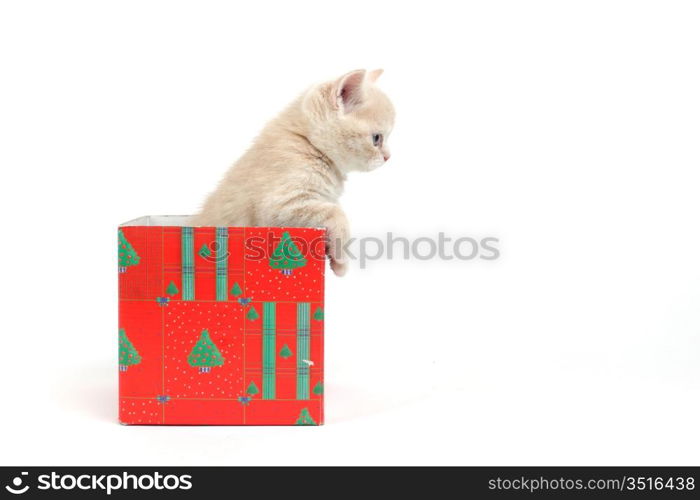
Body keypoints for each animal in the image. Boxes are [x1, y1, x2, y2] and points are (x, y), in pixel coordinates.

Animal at [193, 69, 394, 278]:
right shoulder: (278, 207)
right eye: (377, 138)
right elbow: (337, 212)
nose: (388, 157)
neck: (307, 142)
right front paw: (340, 261)